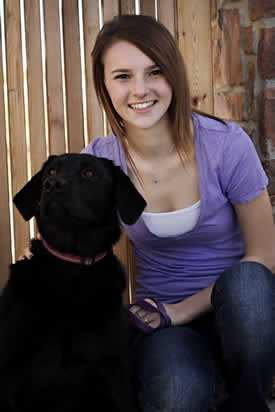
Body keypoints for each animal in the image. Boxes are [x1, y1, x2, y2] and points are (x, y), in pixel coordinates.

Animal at [0, 154, 147, 412]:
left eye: (89, 173)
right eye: (50, 171)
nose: (52, 185)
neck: (72, 266)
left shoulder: (115, 372)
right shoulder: (10, 371)